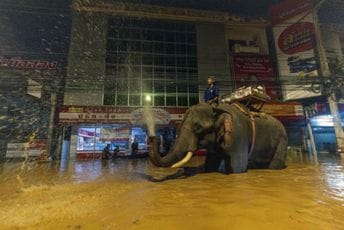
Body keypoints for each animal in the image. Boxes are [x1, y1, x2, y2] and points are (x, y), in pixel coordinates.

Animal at [148, 102, 288, 174]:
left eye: (198, 127)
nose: (152, 136)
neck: (217, 108)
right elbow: (211, 164)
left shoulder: (238, 134)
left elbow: (238, 167)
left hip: (282, 139)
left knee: (275, 164)